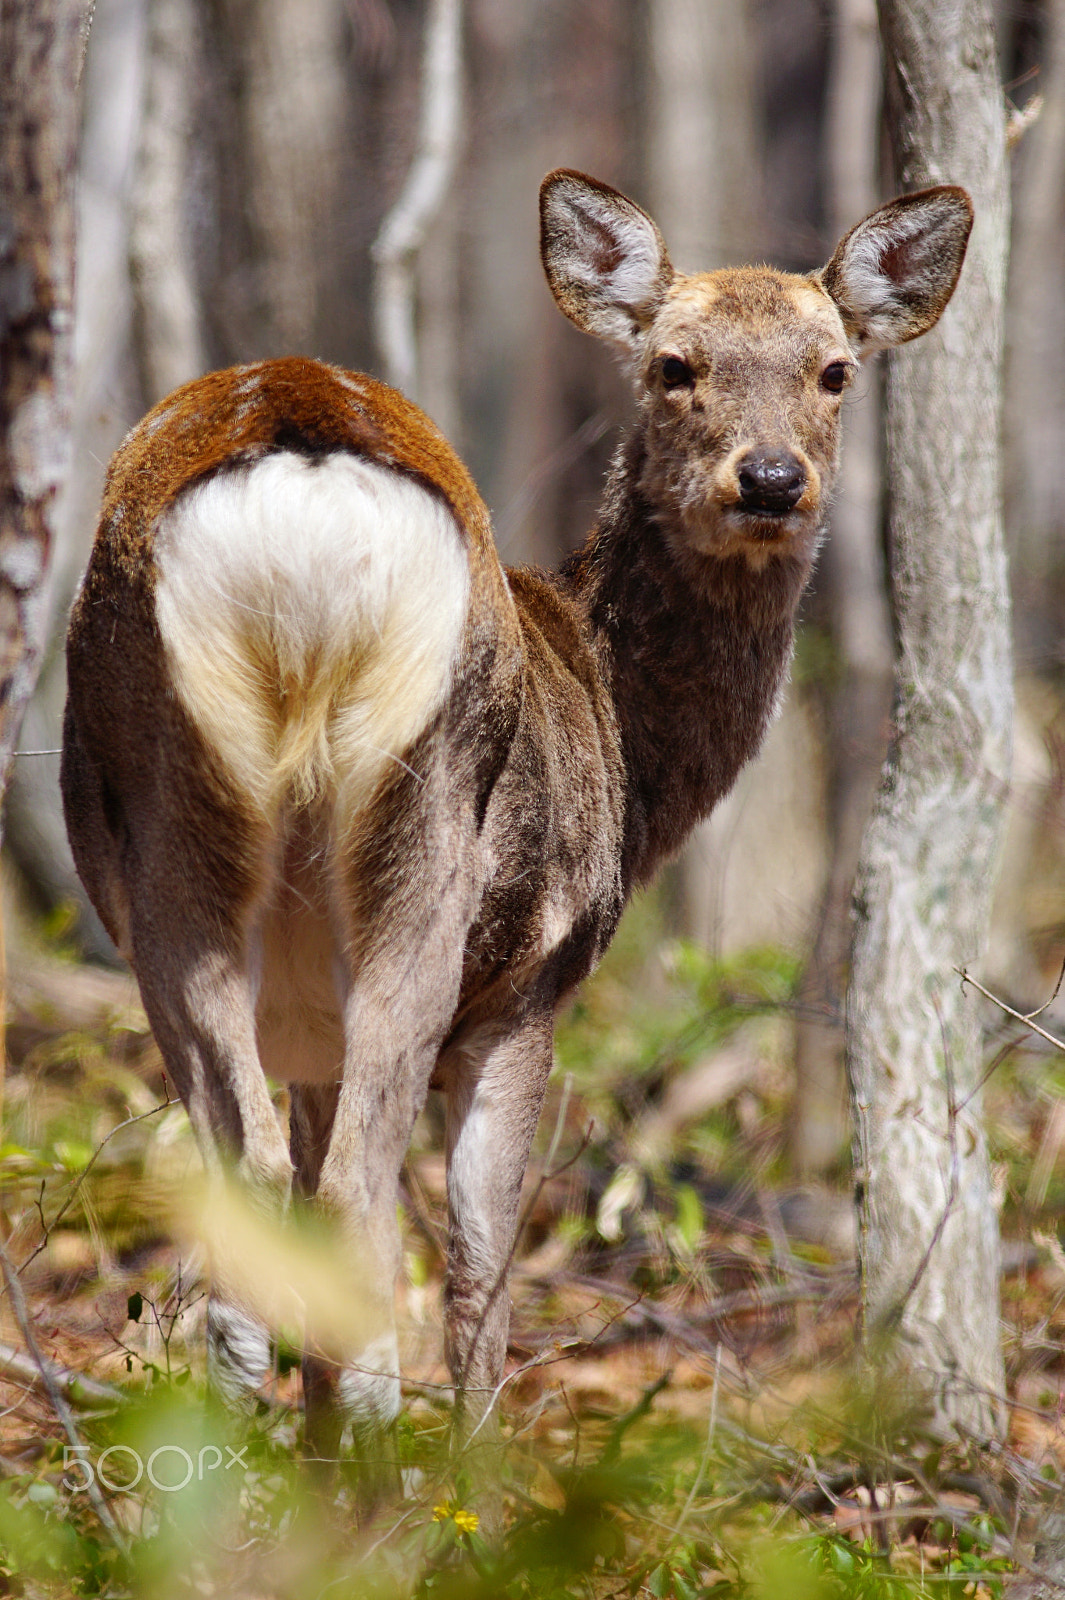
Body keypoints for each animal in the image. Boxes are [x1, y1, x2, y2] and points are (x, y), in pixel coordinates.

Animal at [59, 172, 972, 1497]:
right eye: (675, 365)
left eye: (835, 369)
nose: (769, 480)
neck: (621, 744)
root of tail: (295, 466)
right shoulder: (533, 986)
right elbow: (484, 1273)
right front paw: (483, 1488)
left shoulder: (311, 1034)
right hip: (423, 837)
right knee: (362, 1218)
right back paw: (407, 1513)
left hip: (172, 846)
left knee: (259, 1218)